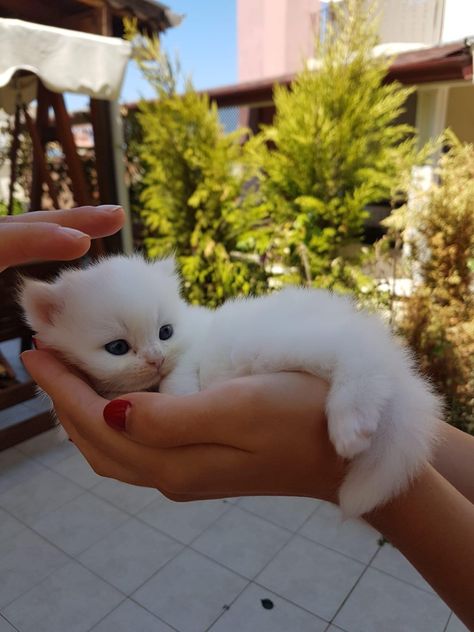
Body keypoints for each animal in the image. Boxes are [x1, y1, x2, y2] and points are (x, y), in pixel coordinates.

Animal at [18, 254, 440, 516]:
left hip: (279, 344)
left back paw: (351, 421)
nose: (155, 357)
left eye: (165, 332)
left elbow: (178, 378)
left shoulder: (189, 354)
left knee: (358, 351)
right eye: (118, 347)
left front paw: (178, 391)